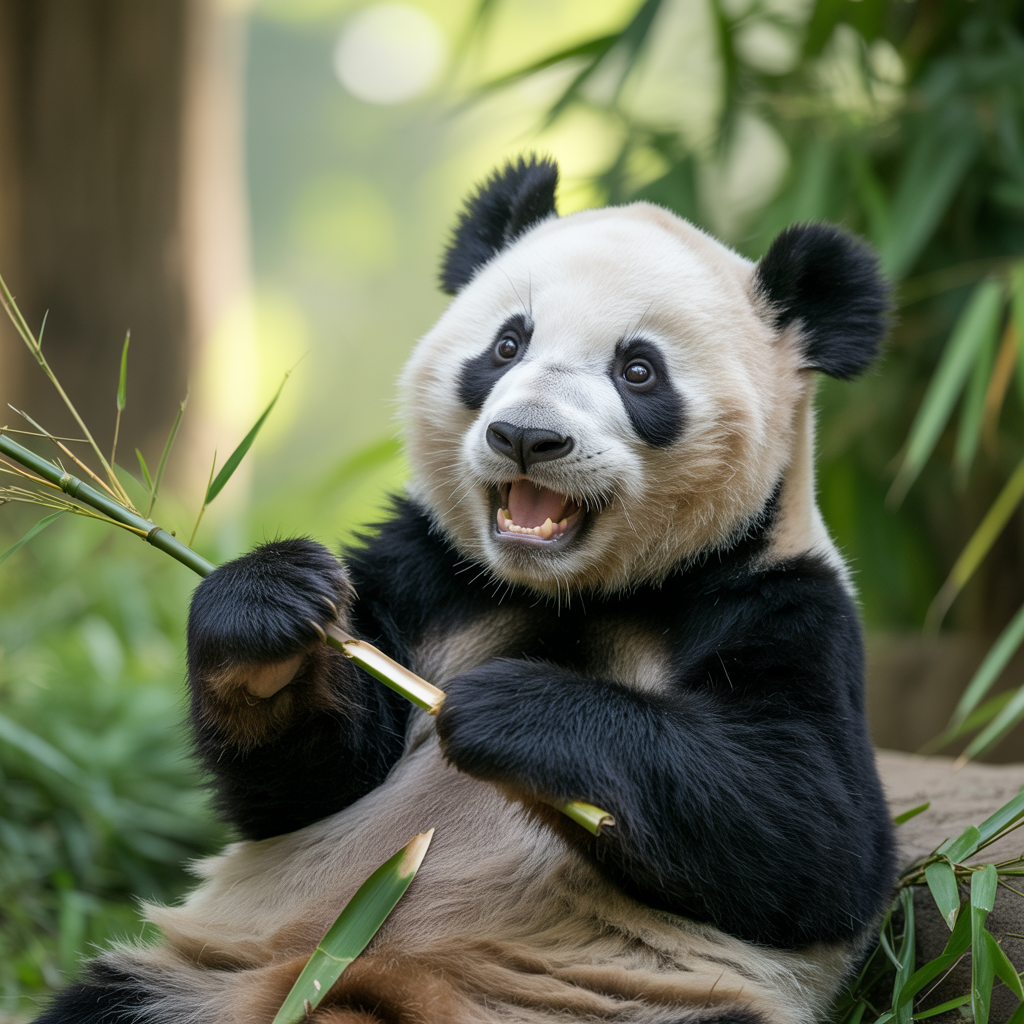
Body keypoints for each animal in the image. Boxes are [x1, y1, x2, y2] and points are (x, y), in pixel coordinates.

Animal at [38, 155, 895, 1024]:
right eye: (508, 344)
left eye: (639, 370)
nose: (527, 436)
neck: (568, 591)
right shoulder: (427, 570)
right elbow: (308, 784)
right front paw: (270, 606)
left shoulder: (781, 601)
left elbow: (819, 837)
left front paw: (514, 712)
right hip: (200, 980)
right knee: (109, 1000)